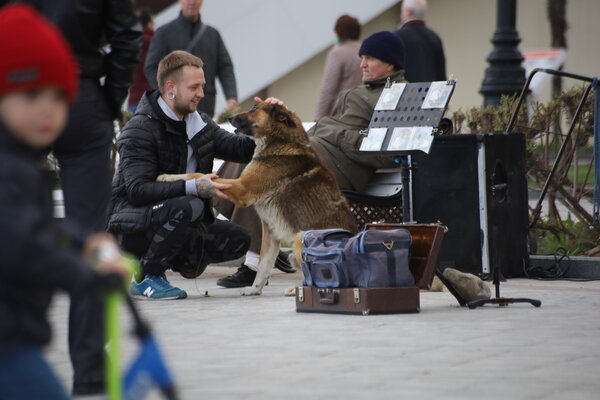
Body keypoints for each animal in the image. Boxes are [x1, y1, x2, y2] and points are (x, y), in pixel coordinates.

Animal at [158, 102, 356, 296]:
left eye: (254, 108)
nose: (230, 117)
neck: (280, 141)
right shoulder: (270, 232)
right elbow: (263, 265)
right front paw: (254, 289)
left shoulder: (241, 189)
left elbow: (196, 174)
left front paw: (166, 177)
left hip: (300, 239)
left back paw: (297, 289)